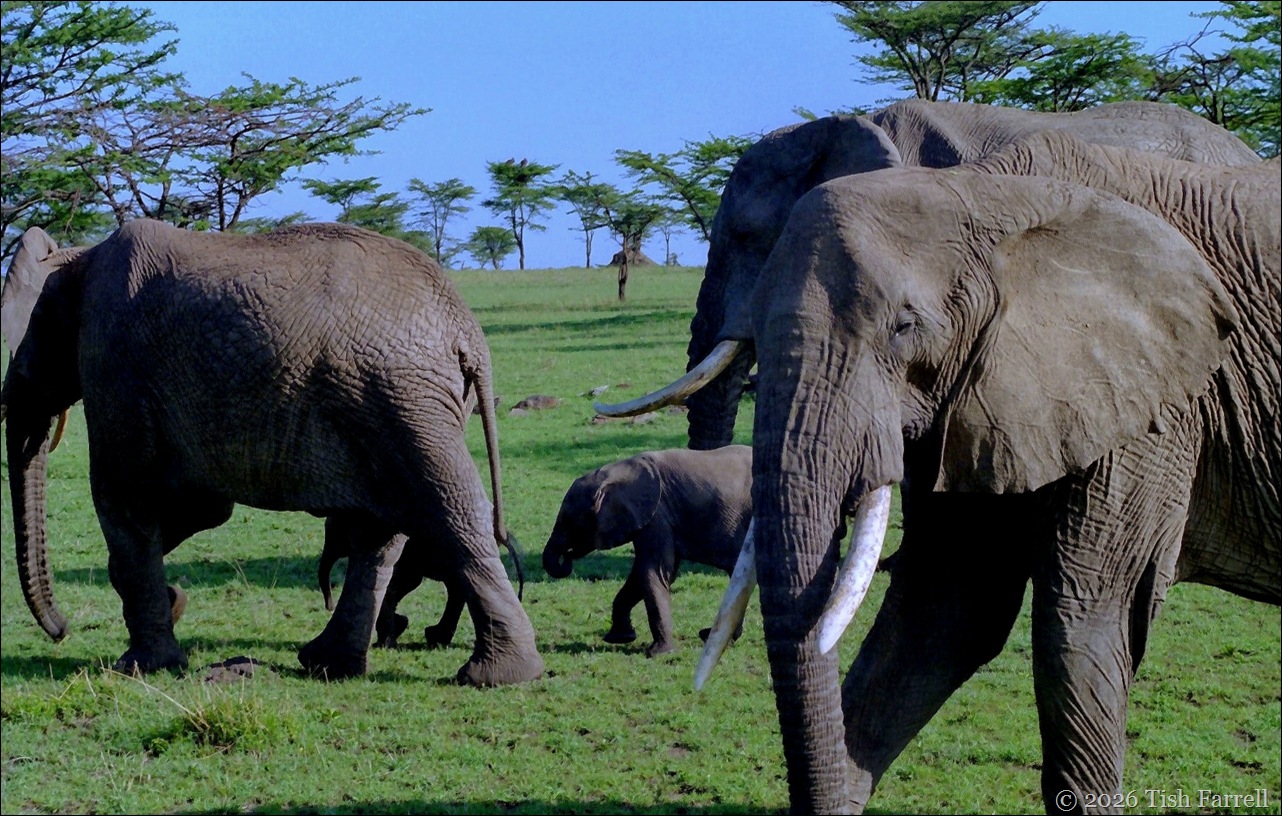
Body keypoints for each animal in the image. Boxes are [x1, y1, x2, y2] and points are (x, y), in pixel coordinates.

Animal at [0, 219, 545, 687]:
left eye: (20, 361)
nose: (61, 630)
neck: (76, 257)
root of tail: (466, 330)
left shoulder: (115, 364)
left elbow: (129, 503)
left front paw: (141, 665)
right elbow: (200, 508)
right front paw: (174, 606)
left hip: (402, 400)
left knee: (446, 511)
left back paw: (494, 676)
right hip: (393, 403)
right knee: (381, 530)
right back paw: (330, 665)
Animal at [542, 446, 753, 657]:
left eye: (570, 522)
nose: (567, 555)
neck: (615, 472)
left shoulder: (657, 515)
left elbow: (652, 571)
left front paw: (658, 653)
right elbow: (640, 576)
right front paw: (620, 638)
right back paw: (710, 636)